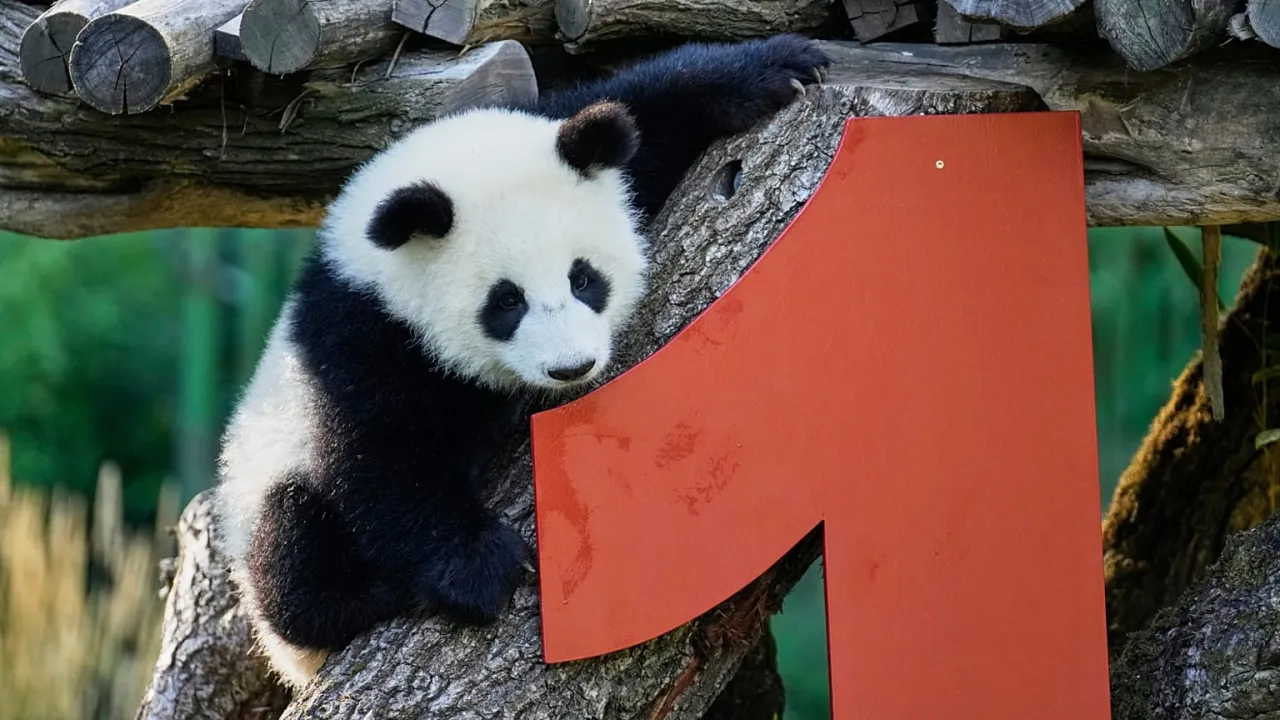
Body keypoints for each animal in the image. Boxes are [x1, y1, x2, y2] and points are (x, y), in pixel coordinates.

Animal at [214, 34, 830, 688]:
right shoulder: (361, 331)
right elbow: (380, 457)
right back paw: (362, 599)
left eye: (584, 278)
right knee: (291, 549)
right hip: (265, 487)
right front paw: (478, 566)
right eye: (505, 302)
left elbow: (646, 113)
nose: (571, 368)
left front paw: (776, 66)